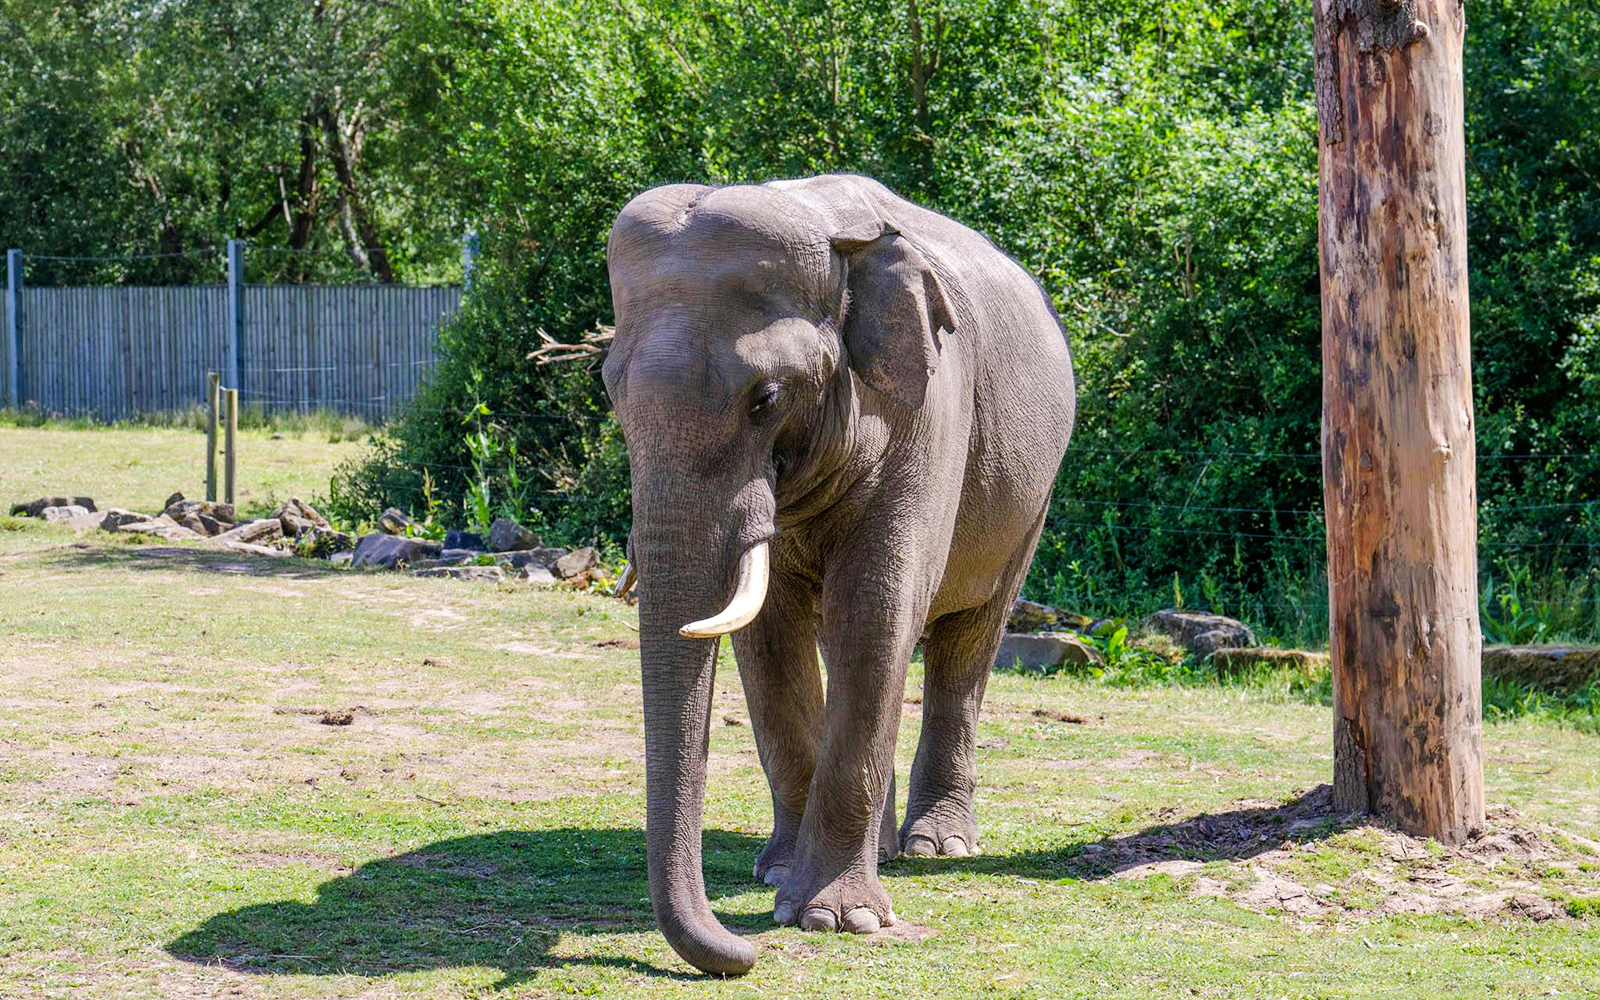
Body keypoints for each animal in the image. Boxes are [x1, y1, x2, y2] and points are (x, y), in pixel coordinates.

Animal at [603, 173, 1075, 975]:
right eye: (609, 390)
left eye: (765, 398)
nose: (742, 953)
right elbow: (769, 637)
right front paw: (776, 877)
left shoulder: (929, 412)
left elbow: (879, 607)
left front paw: (834, 919)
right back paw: (880, 847)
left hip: (1032, 500)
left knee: (967, 643)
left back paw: (938, 846)